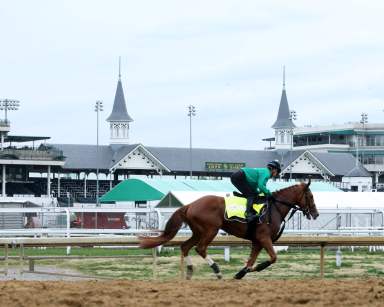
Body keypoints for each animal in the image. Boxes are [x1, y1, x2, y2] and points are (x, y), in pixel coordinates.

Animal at [140, 180, 320, 280]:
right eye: (310, 196)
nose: (316, 214)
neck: (274, 207)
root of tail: (190, 205)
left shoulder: (257, 241)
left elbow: (251, 260)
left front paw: (241, 273)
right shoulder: (264, 238)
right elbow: (273, 258)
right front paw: (250, 270)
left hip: (198, 231)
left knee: (185, 246)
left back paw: (190, 271)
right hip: (210, 230)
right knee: (200, 248)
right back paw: (217, 271)